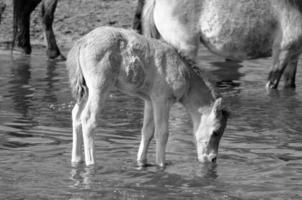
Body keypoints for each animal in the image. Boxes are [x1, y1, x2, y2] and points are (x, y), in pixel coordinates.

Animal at [65, 26, 226, 167]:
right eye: (216, 132)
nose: (212, 159)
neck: (184, 73)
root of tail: (82, 41)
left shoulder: (149, 100)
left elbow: (147, 131)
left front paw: (141, 162)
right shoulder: (162, 100)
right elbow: (162, 133)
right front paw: (161, 165)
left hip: (86, 90)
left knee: (76, 116)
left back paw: (76, 160)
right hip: (99, 87)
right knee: (88, 119)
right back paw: (91, 163)